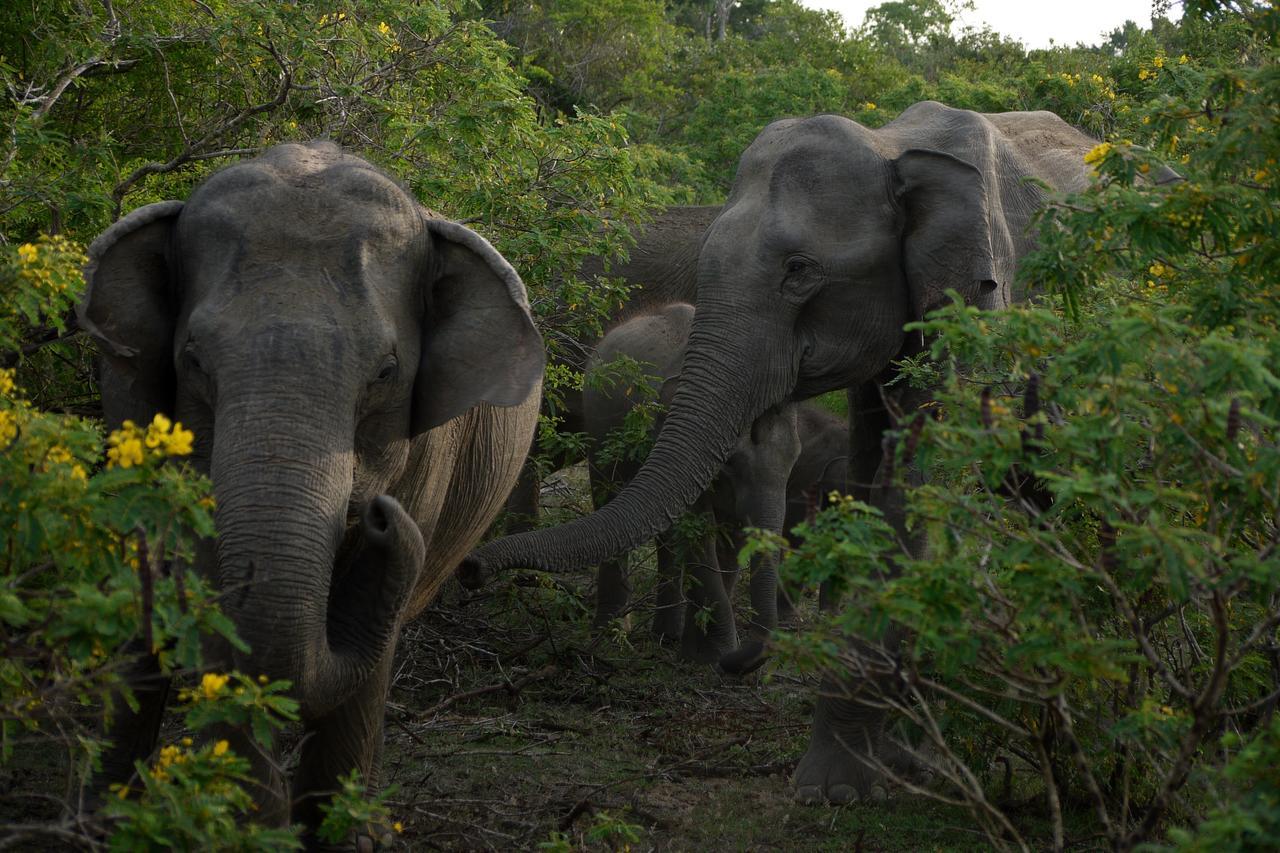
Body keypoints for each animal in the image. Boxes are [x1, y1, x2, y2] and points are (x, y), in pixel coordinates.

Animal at [74, 140, 545, 835]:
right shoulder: (130, 394)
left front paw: (339, 833)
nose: (381, 515)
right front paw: (254, 825)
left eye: (386, 372)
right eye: (193, 360)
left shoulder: (430, 451)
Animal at [463, 103, 1111, 799]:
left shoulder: (986, 301)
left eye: (799, 270)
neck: (893, 145)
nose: (469, 569)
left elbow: (920, 497)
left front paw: (841, 785)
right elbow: (874, 489)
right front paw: (885, 768)